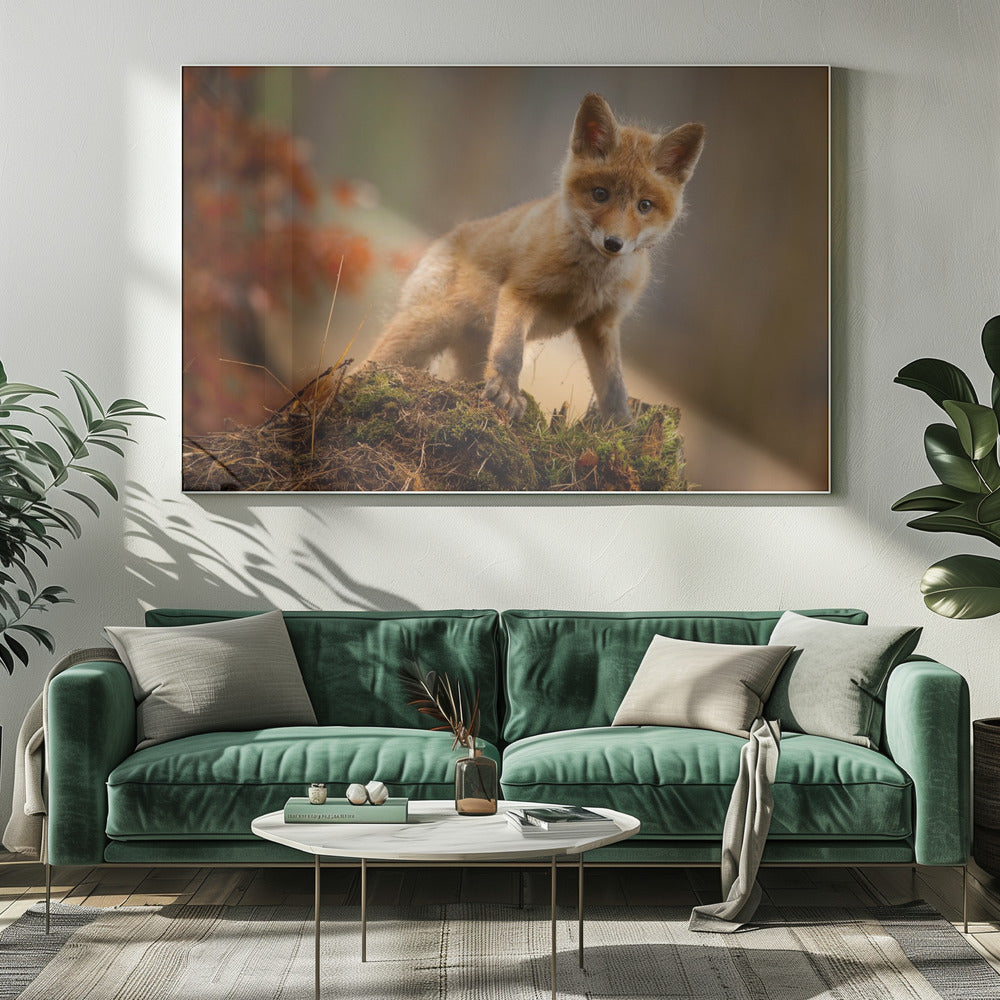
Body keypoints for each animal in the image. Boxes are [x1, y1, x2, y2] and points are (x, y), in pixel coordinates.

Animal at [368, 93, 706, 423]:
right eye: (600, 194)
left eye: (644, 205)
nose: (613, 243)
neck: (590, 280)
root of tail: (445, 238)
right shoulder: (521, 293)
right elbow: (509, 353)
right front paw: (506, 392)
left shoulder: (602, 323)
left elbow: (613, 385)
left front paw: (622, 427)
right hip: (431, 324)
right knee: (373, 361)